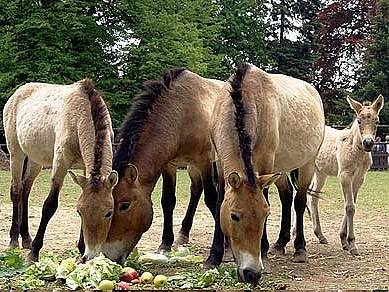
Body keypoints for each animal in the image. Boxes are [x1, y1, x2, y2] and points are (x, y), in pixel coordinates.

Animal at [3, 79, 116, 262]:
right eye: (79, 212)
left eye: (109, 213)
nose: (90, 256)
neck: (79, 116)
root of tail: (18, 93)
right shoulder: (60, 165)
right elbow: (49, 205)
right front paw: (33, 253)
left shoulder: (85, 169)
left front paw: (81, 249)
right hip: (16, 154)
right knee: (17, 191)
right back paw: (14, 239)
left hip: (35, 160)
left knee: (26, 190)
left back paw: (26, 238)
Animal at [209, 63, 324, 282]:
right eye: (234, 216)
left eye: (265, 215)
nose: (252, 273)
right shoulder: (219, 164)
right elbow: (219, 203)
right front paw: (213, 257)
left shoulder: (265, 164)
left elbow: (266, 198)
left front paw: (263, 253)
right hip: (280, 169)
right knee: (287, 196)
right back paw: (280, 244)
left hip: (307, 163)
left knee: (299, 201)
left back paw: (299, 250)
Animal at [308, 94, 384, 254]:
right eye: (359, 121)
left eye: (377, 121)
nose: (368, 143)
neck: (355, 150)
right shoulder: (344, 176)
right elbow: (349, 207)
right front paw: (352, 243)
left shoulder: (359, 179)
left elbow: (351, 204)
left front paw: (344, 240)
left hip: (320, 173)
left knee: (312, 196)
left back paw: (320, 235)